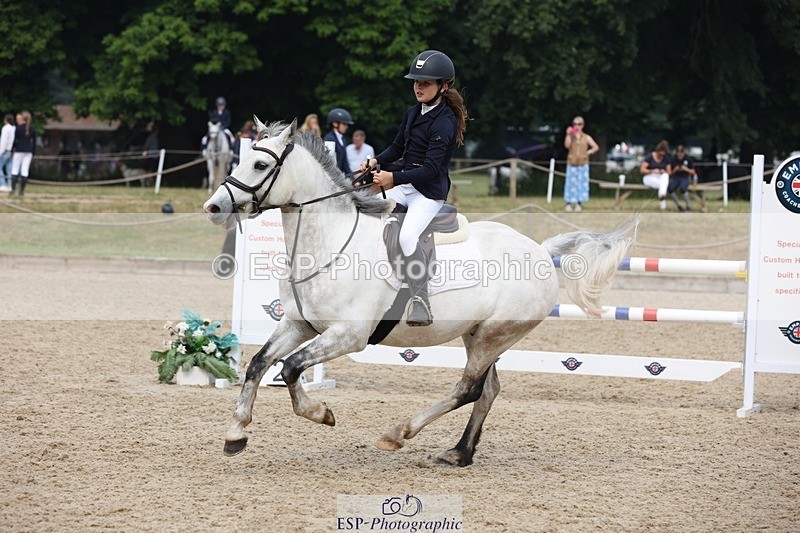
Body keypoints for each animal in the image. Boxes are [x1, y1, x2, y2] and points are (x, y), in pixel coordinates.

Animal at [203, 118, 635, 466]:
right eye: (241, 160)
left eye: (260, 165)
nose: (213, 208)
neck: (330, 242)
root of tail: (541, 251)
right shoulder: (298, 325)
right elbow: (259, 363)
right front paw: (236, 433)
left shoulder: (348, 335)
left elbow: (291, 368)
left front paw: (320, 412)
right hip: (480, 334)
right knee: (488, 391)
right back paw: (459, 453)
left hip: (495, 335)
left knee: (468, 389)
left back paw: (399, 434)